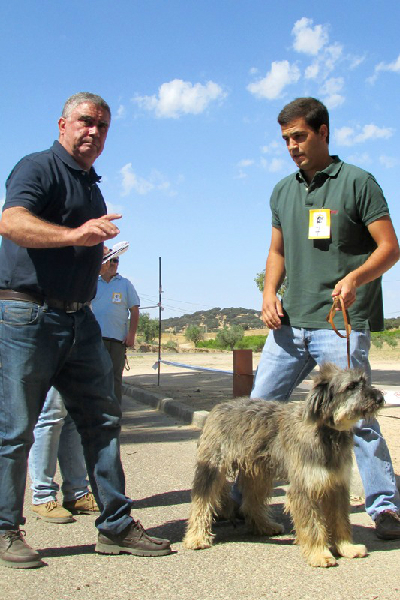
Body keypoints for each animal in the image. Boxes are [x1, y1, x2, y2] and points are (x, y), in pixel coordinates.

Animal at [184, 360, 384, 568]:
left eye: (365, 382)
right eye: (350, 386)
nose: (380, 397)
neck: (328, 432)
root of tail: (219, 407)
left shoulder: (337, 485)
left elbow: (340, 519)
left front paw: (346, 547)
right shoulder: (305, 487)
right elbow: (312, 525)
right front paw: (319, 554)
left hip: (259, 473)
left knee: (251, 502)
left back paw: (264, 525)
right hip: (212, 469)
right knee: (202, 501)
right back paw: (196, 537)